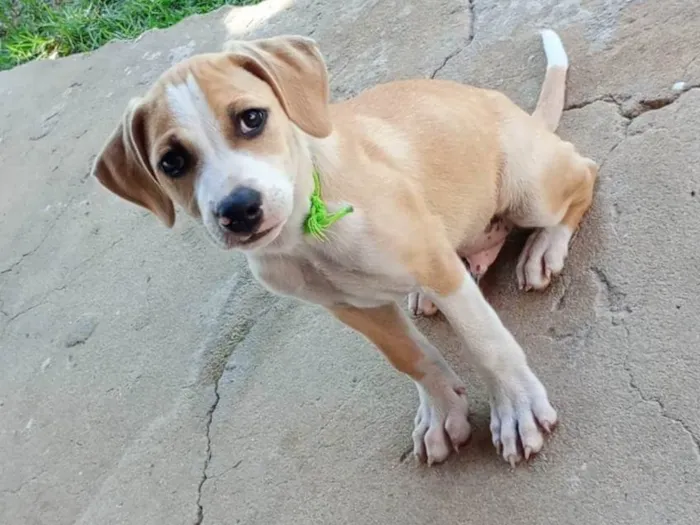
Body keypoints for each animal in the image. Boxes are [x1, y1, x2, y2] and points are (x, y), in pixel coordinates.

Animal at [91, 28, 596, 464]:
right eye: (172, 162)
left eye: (252, 118)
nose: (239, 210)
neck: (304, 236)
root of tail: (522, 117)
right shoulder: (351, 308)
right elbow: (408, 357)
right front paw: (440, 411)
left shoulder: (435, 266)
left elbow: (487, 341)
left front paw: (515, 409)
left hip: (529, 189)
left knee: (584, 172)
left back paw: (544, 247)